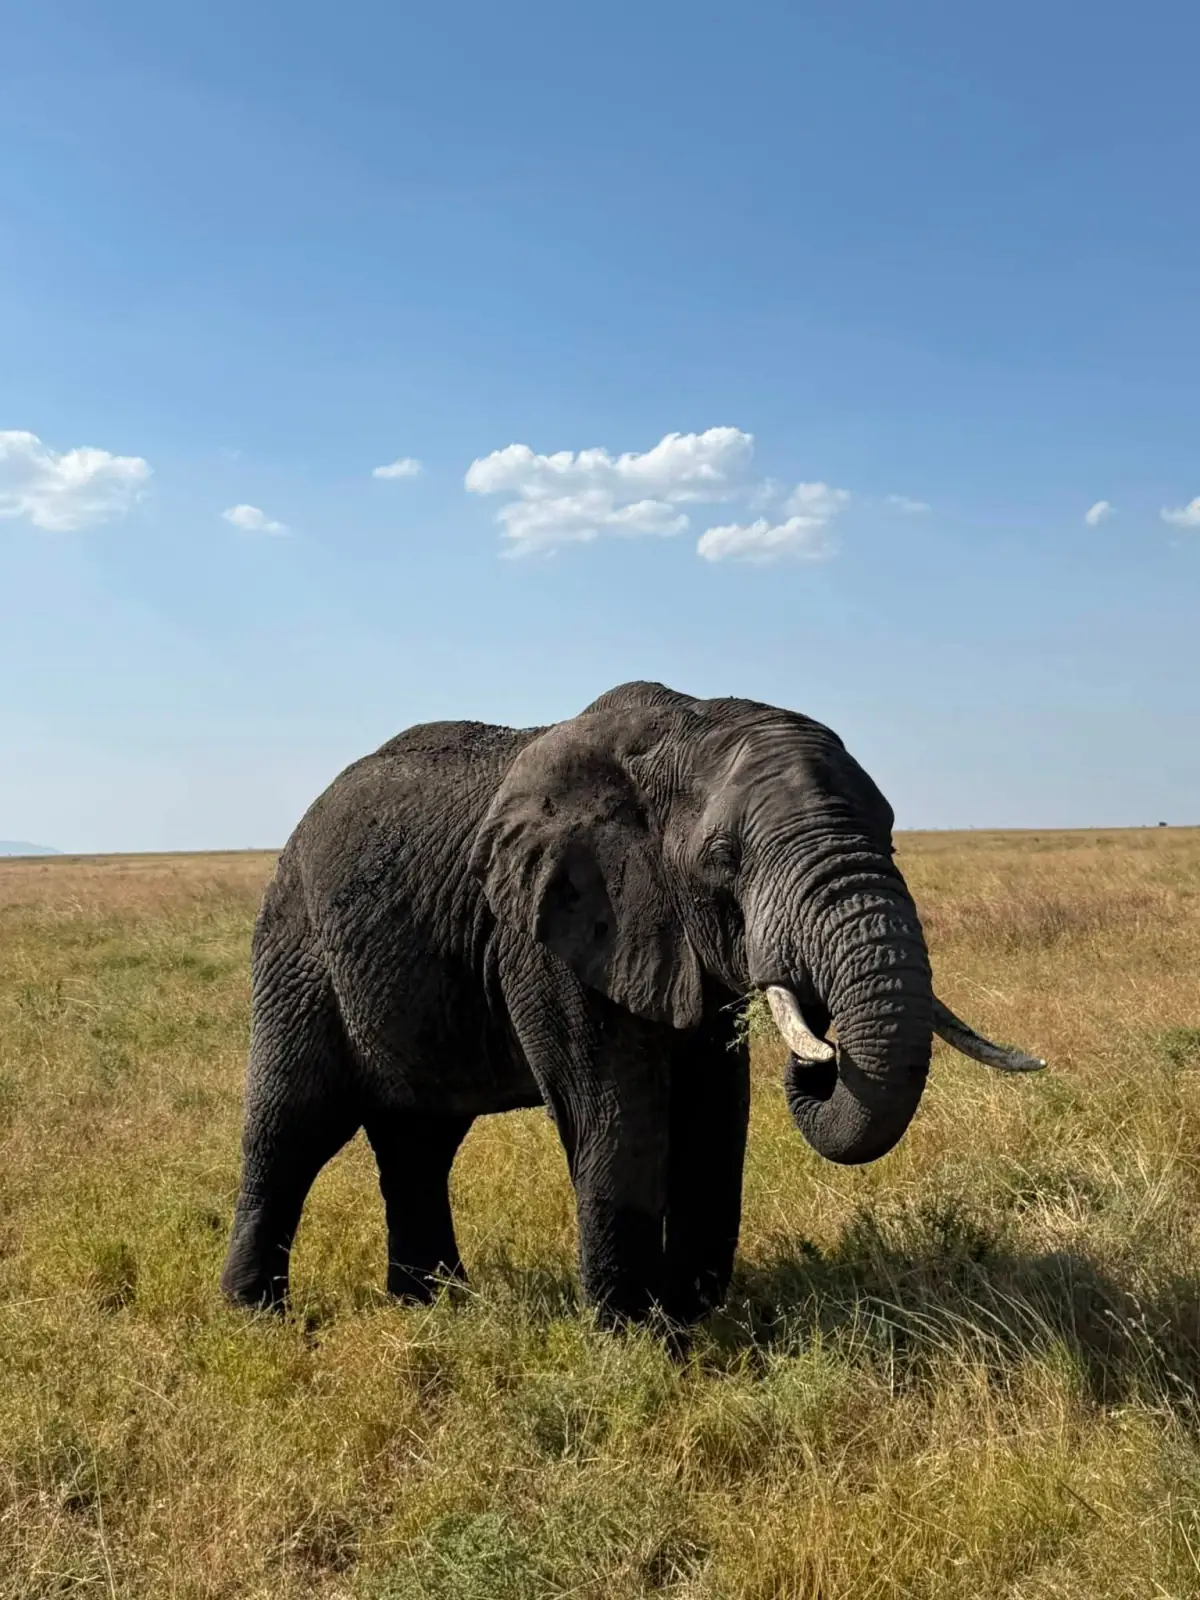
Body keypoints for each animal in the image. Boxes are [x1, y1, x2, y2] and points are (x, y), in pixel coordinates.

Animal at [220, 681, 1043, 1327]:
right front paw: (634, 1338)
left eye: (894, 835)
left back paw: (435, 1307)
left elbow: (715, 1112)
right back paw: (258, 1319)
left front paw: (691, 1318)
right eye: (724, 859)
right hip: (297, 945)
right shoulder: (553, 931)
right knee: (293, 1124)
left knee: (421, 1139)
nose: (823, 1050)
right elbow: (617, 1114)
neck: (683, 731)